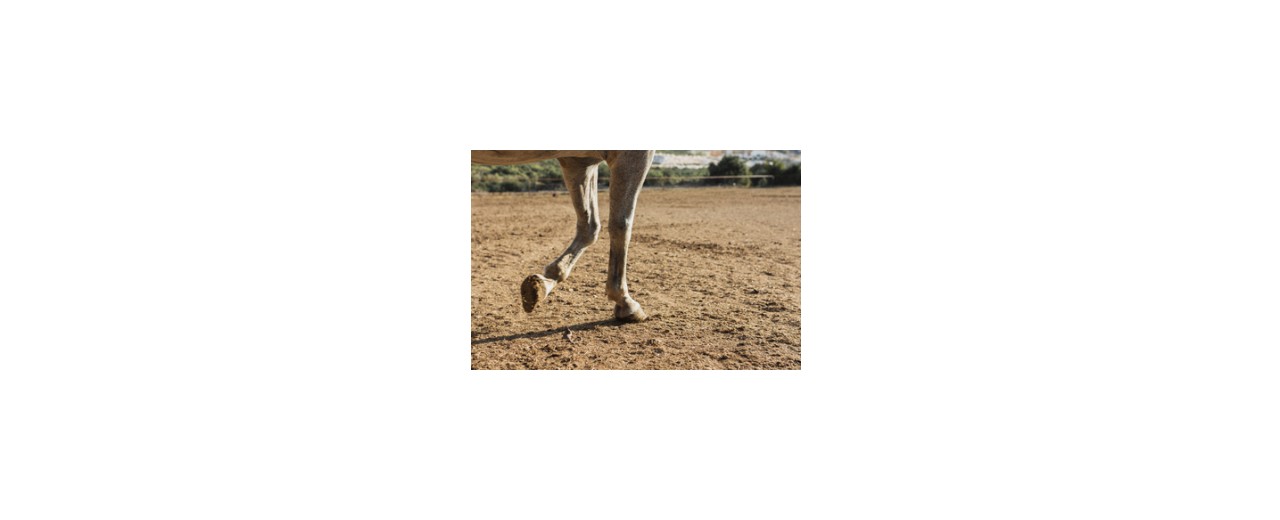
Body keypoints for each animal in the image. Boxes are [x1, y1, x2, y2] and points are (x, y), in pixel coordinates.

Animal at [471, 150, 653, 322]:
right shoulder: (631, 155)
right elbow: (621, 225)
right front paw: (625, 302)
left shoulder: (578, 163)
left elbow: (589, 227)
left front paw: (543, 284)